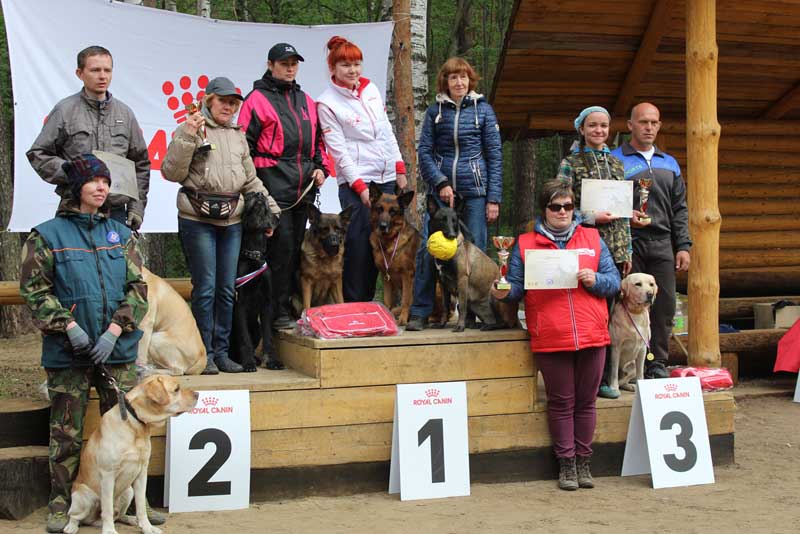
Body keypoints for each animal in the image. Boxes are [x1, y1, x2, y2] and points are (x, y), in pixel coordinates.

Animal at [231, 192, 282, 372]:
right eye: (248, 196)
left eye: (265, 196)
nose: (259, 194)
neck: (253, 255)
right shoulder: (240, 303)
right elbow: (244, 339)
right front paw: (248, 363)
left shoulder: (267, 303)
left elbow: (269, 337)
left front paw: (272, 361)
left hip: (256, 329)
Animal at [368, 183, 422, 326]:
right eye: (379, 209)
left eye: (393, 211)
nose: (383, 226)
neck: (389, 242)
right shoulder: (385, 276)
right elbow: (387, 301)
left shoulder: (407, 275)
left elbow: (405, 300)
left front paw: (402, 319)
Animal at [428, 195, 516, 332]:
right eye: (442, 220)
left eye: (454, 221)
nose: (452, 235)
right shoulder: (443, 284)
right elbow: (445, 307)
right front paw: (441, 324)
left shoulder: (462, 279)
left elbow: (462, 306)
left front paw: (460, 326)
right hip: (476, 305)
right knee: (493, 319)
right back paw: (483, 325)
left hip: (495, 294)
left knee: (505, 323)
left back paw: (488, 326)